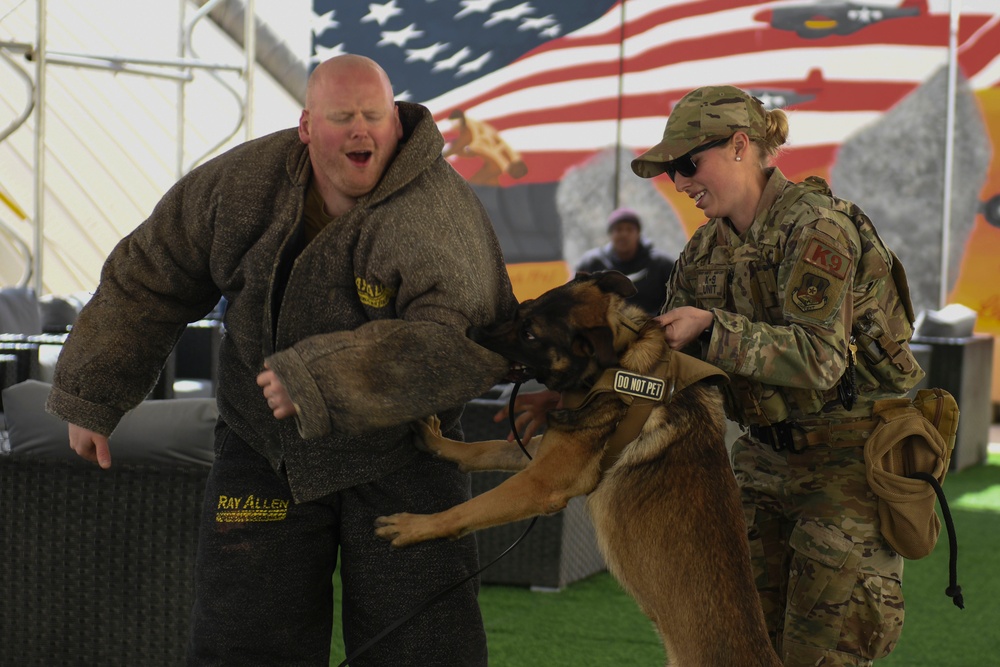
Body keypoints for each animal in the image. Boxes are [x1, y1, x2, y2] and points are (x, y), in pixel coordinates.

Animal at [376, 272, 780, 667]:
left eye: (530, 334)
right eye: (521, 310)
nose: (471, 332)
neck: (619, 370)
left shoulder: (541, 482)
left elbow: (466, 510)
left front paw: (415, 527)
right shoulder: (544, 452)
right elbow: (486, 448)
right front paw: (440, 444)